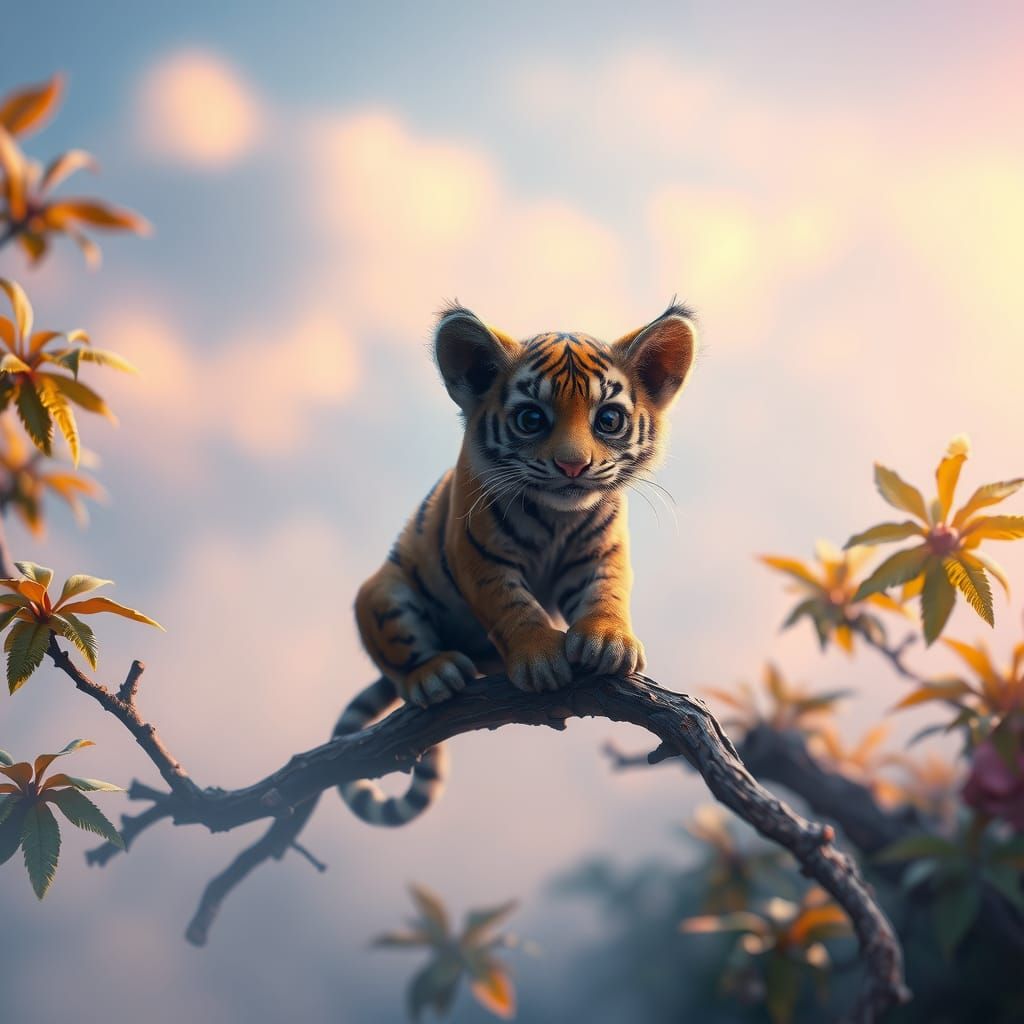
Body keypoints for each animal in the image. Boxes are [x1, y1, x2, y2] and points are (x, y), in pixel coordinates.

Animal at [333, 302, 699, 825]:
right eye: (531, 418)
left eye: (608, 419)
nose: (573, 466)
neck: (557, 517)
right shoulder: (478, 556)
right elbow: (512, 606)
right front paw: (540, 659)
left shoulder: (602, 552)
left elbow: (605, 592)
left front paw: (609, 643)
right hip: (381, 594)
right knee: (402, 658)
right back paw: (435, 674)